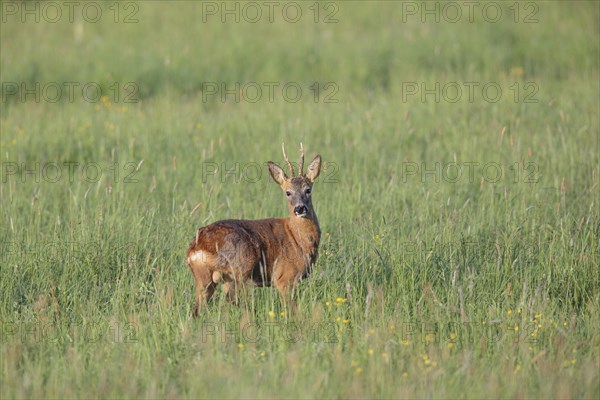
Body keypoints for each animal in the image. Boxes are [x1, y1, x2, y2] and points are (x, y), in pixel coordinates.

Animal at [186, 144, 322, 316]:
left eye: (308, 190)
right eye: (288, 192)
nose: (300, 208)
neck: (298, 239)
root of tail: (197, 247)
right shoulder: (284, 277)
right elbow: (292, 309)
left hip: (204, 278)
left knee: (196, 310)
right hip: (238, 270)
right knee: (228, 302)